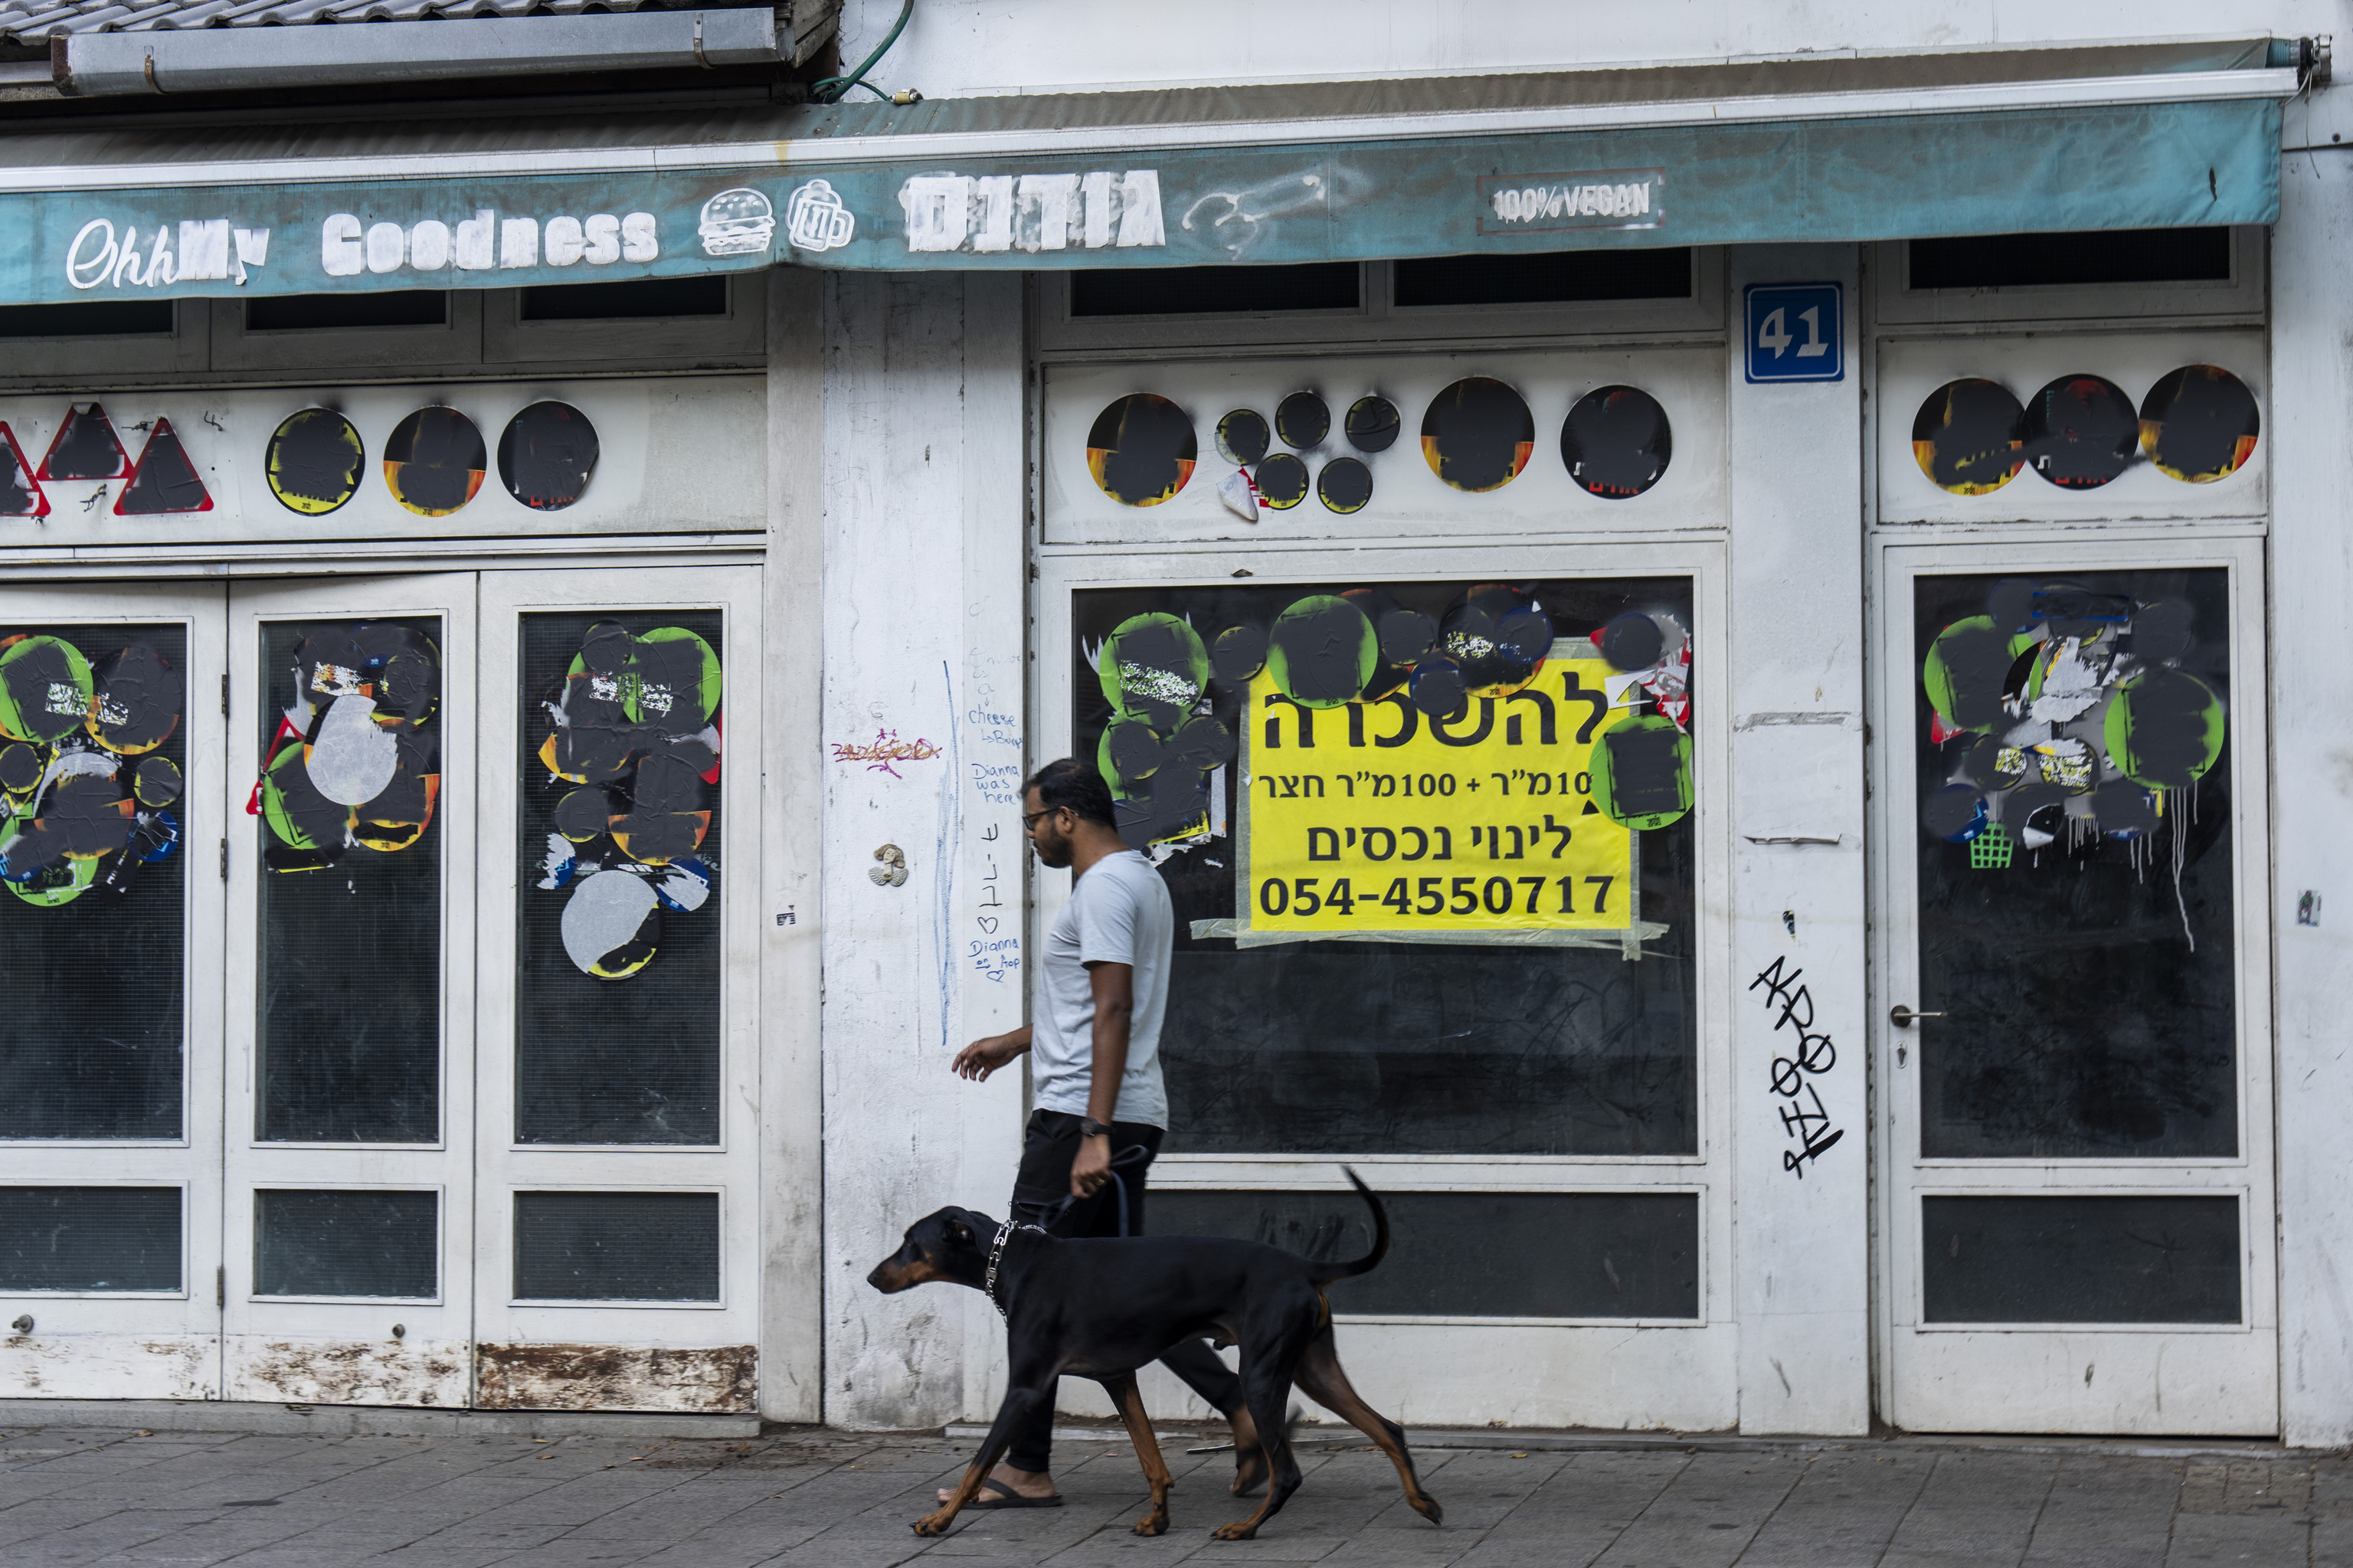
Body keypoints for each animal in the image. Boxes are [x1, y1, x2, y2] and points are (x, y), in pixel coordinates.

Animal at [875, 1167, 1440, 1534]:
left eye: (911, 1242)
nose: (871, 1277)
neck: (1014, 1262)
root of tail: (1305, 1266)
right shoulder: (1119, 1379)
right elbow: (1151, 1457)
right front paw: (1158, 1517)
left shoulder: (1025, 1388)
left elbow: (977, 1463)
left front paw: (939, 1519)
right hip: (1314, 1370)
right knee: (1387, 1429)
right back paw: (1422, 1501)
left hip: (1262, 1375)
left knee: (1289, 1472)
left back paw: (1245, 1527)